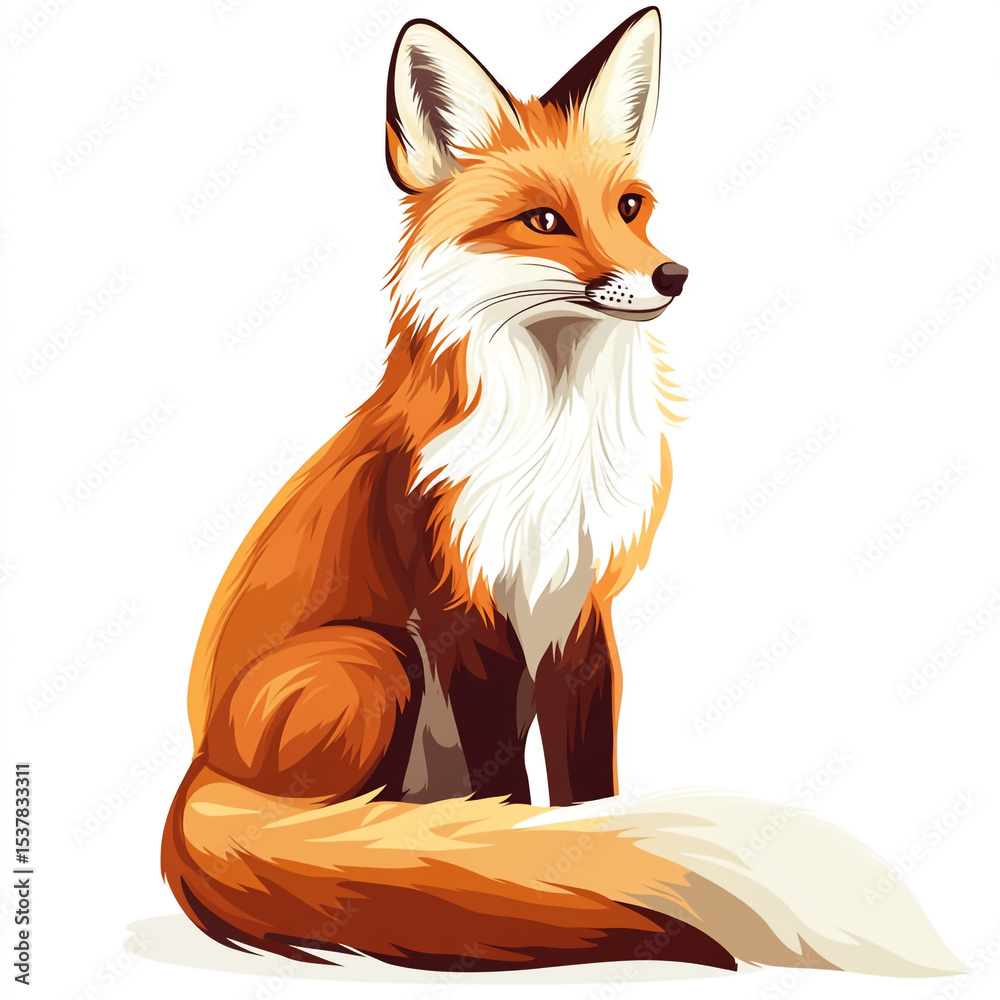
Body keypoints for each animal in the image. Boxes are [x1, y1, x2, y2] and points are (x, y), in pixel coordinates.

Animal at [162, 8, 963, 978]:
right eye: (543, 220)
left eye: (630, 206)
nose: (672, 277)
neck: (555, 443)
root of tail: (199, 764)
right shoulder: (463, 613)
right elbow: (506, 786)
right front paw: (503, 854)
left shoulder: (583, 610)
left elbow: (587, 782)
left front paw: (580, 849)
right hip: (372, 656)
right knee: (325, 820)